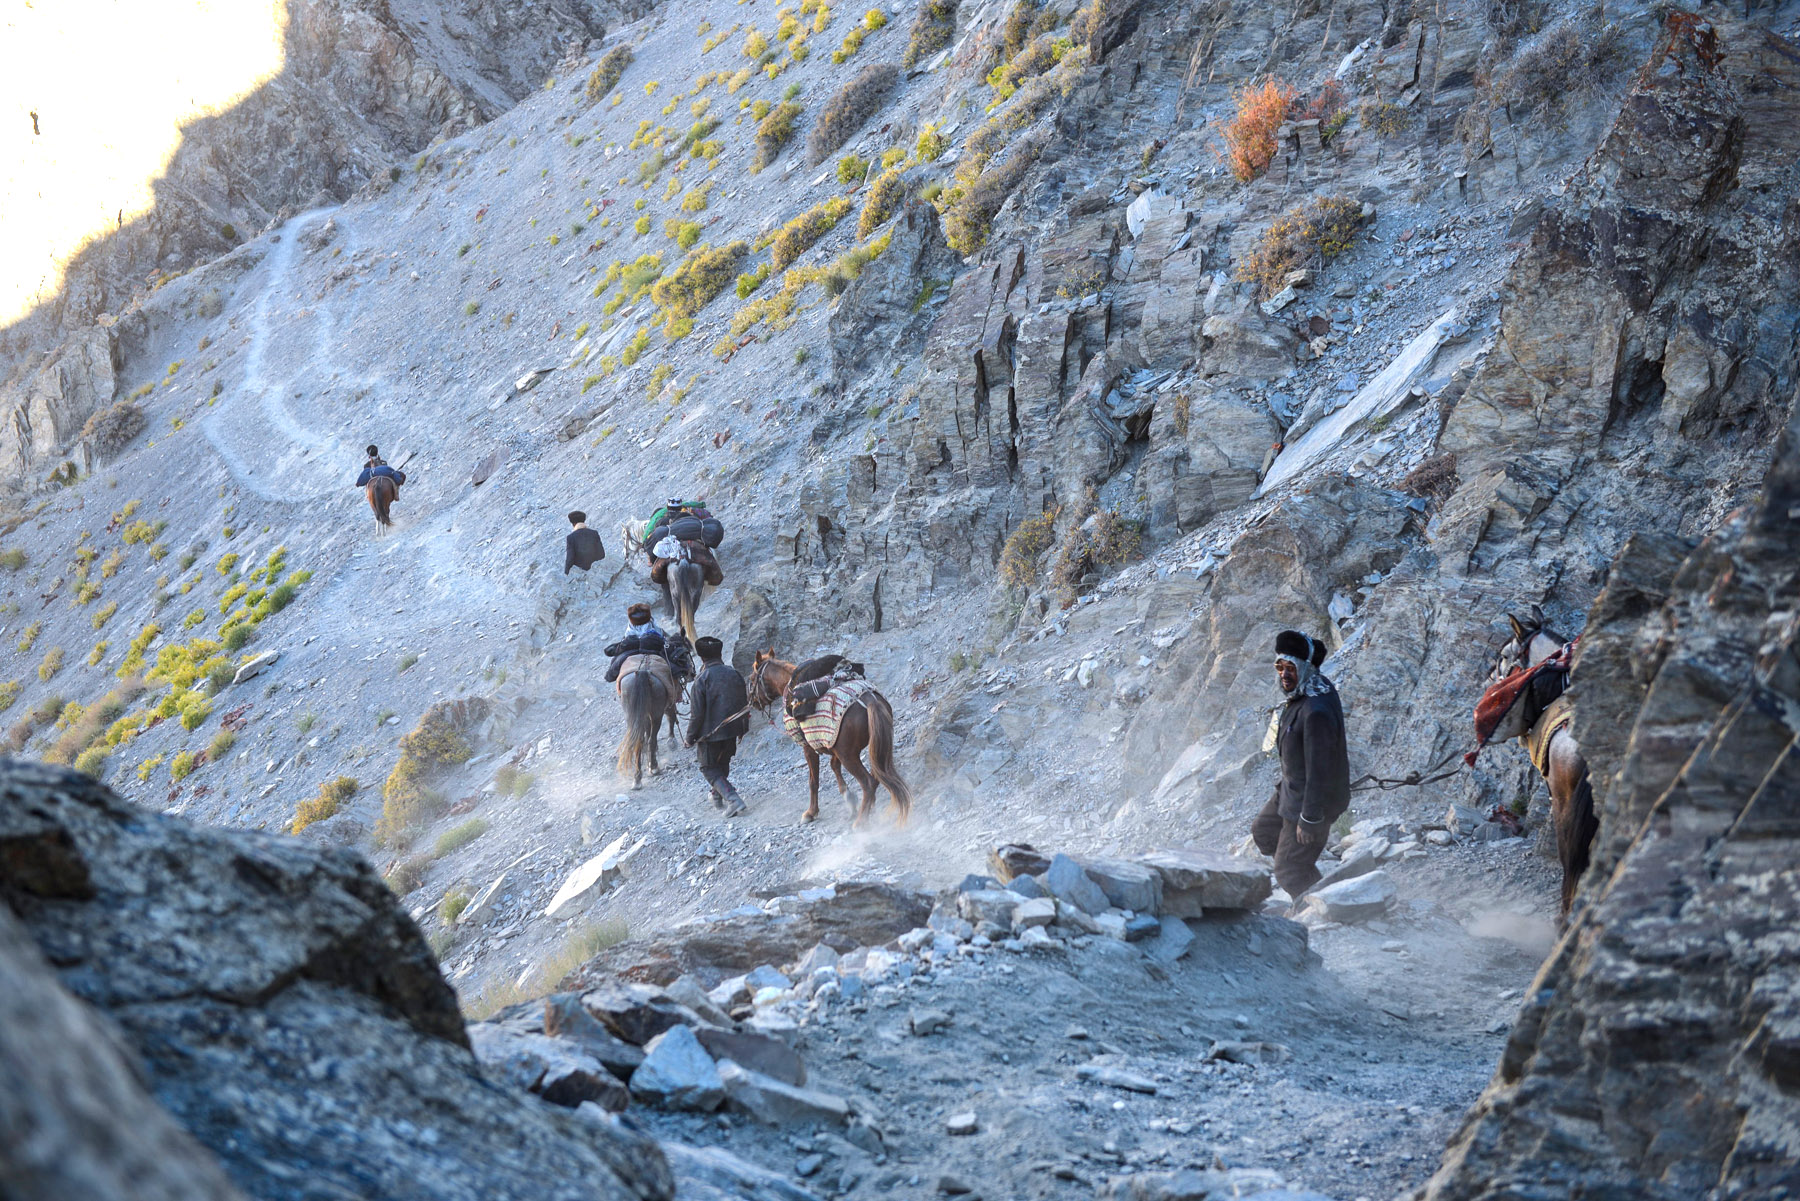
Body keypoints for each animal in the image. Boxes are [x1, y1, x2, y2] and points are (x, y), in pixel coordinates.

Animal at [748, 659, 914, 828]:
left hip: (849, 756)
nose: (752, 703)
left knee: (868, 783)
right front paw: (849, 797)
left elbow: (813, 781)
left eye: (751, 680)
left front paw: (811, 813)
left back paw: (860, 821)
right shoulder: (833, 746)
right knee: (877, 775)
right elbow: (834, 765)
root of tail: (870, 700)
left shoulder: (809, 748)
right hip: (876, 748)